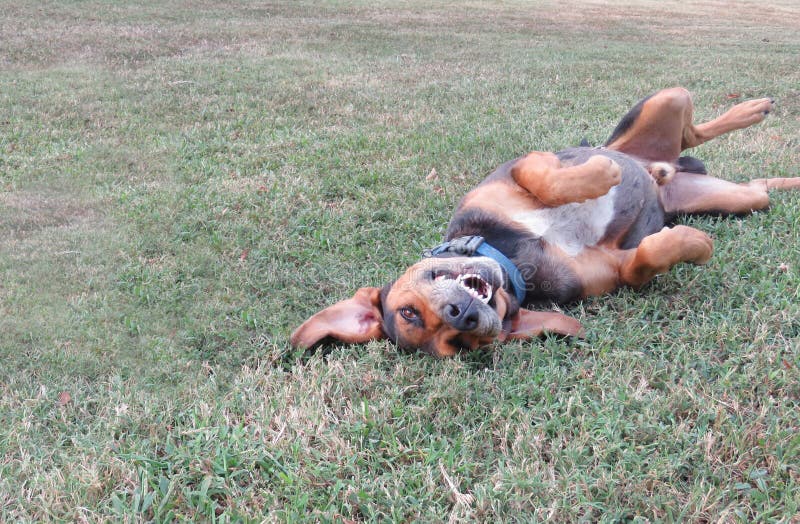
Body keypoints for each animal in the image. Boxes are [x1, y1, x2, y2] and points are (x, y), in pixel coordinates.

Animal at [290, 88, 796, 356]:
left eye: (407, 311)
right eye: (459, 345)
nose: (463, 316)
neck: (515, 260)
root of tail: (662, 169)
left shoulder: (516, 169)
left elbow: (544, 177)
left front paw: (599, 176)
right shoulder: (615, 269)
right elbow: (645, 260)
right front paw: (693, 243)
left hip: (664, 103)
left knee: (691, 127)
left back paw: (748, 110)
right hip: (739, 200)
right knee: (757, 185)